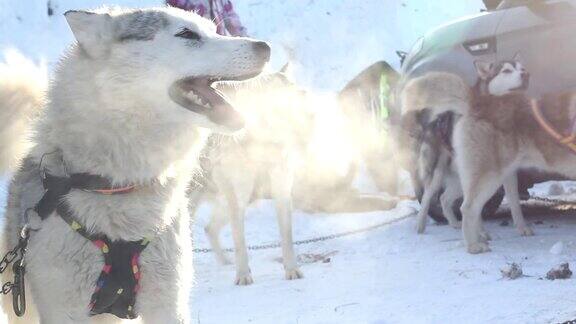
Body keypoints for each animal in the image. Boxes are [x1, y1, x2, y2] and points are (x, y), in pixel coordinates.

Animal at [0, 5, 270, 324]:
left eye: (214, 30)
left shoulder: (168, 303)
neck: (115, 185)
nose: (265, 47)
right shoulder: (66, 311)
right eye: (187, 34)